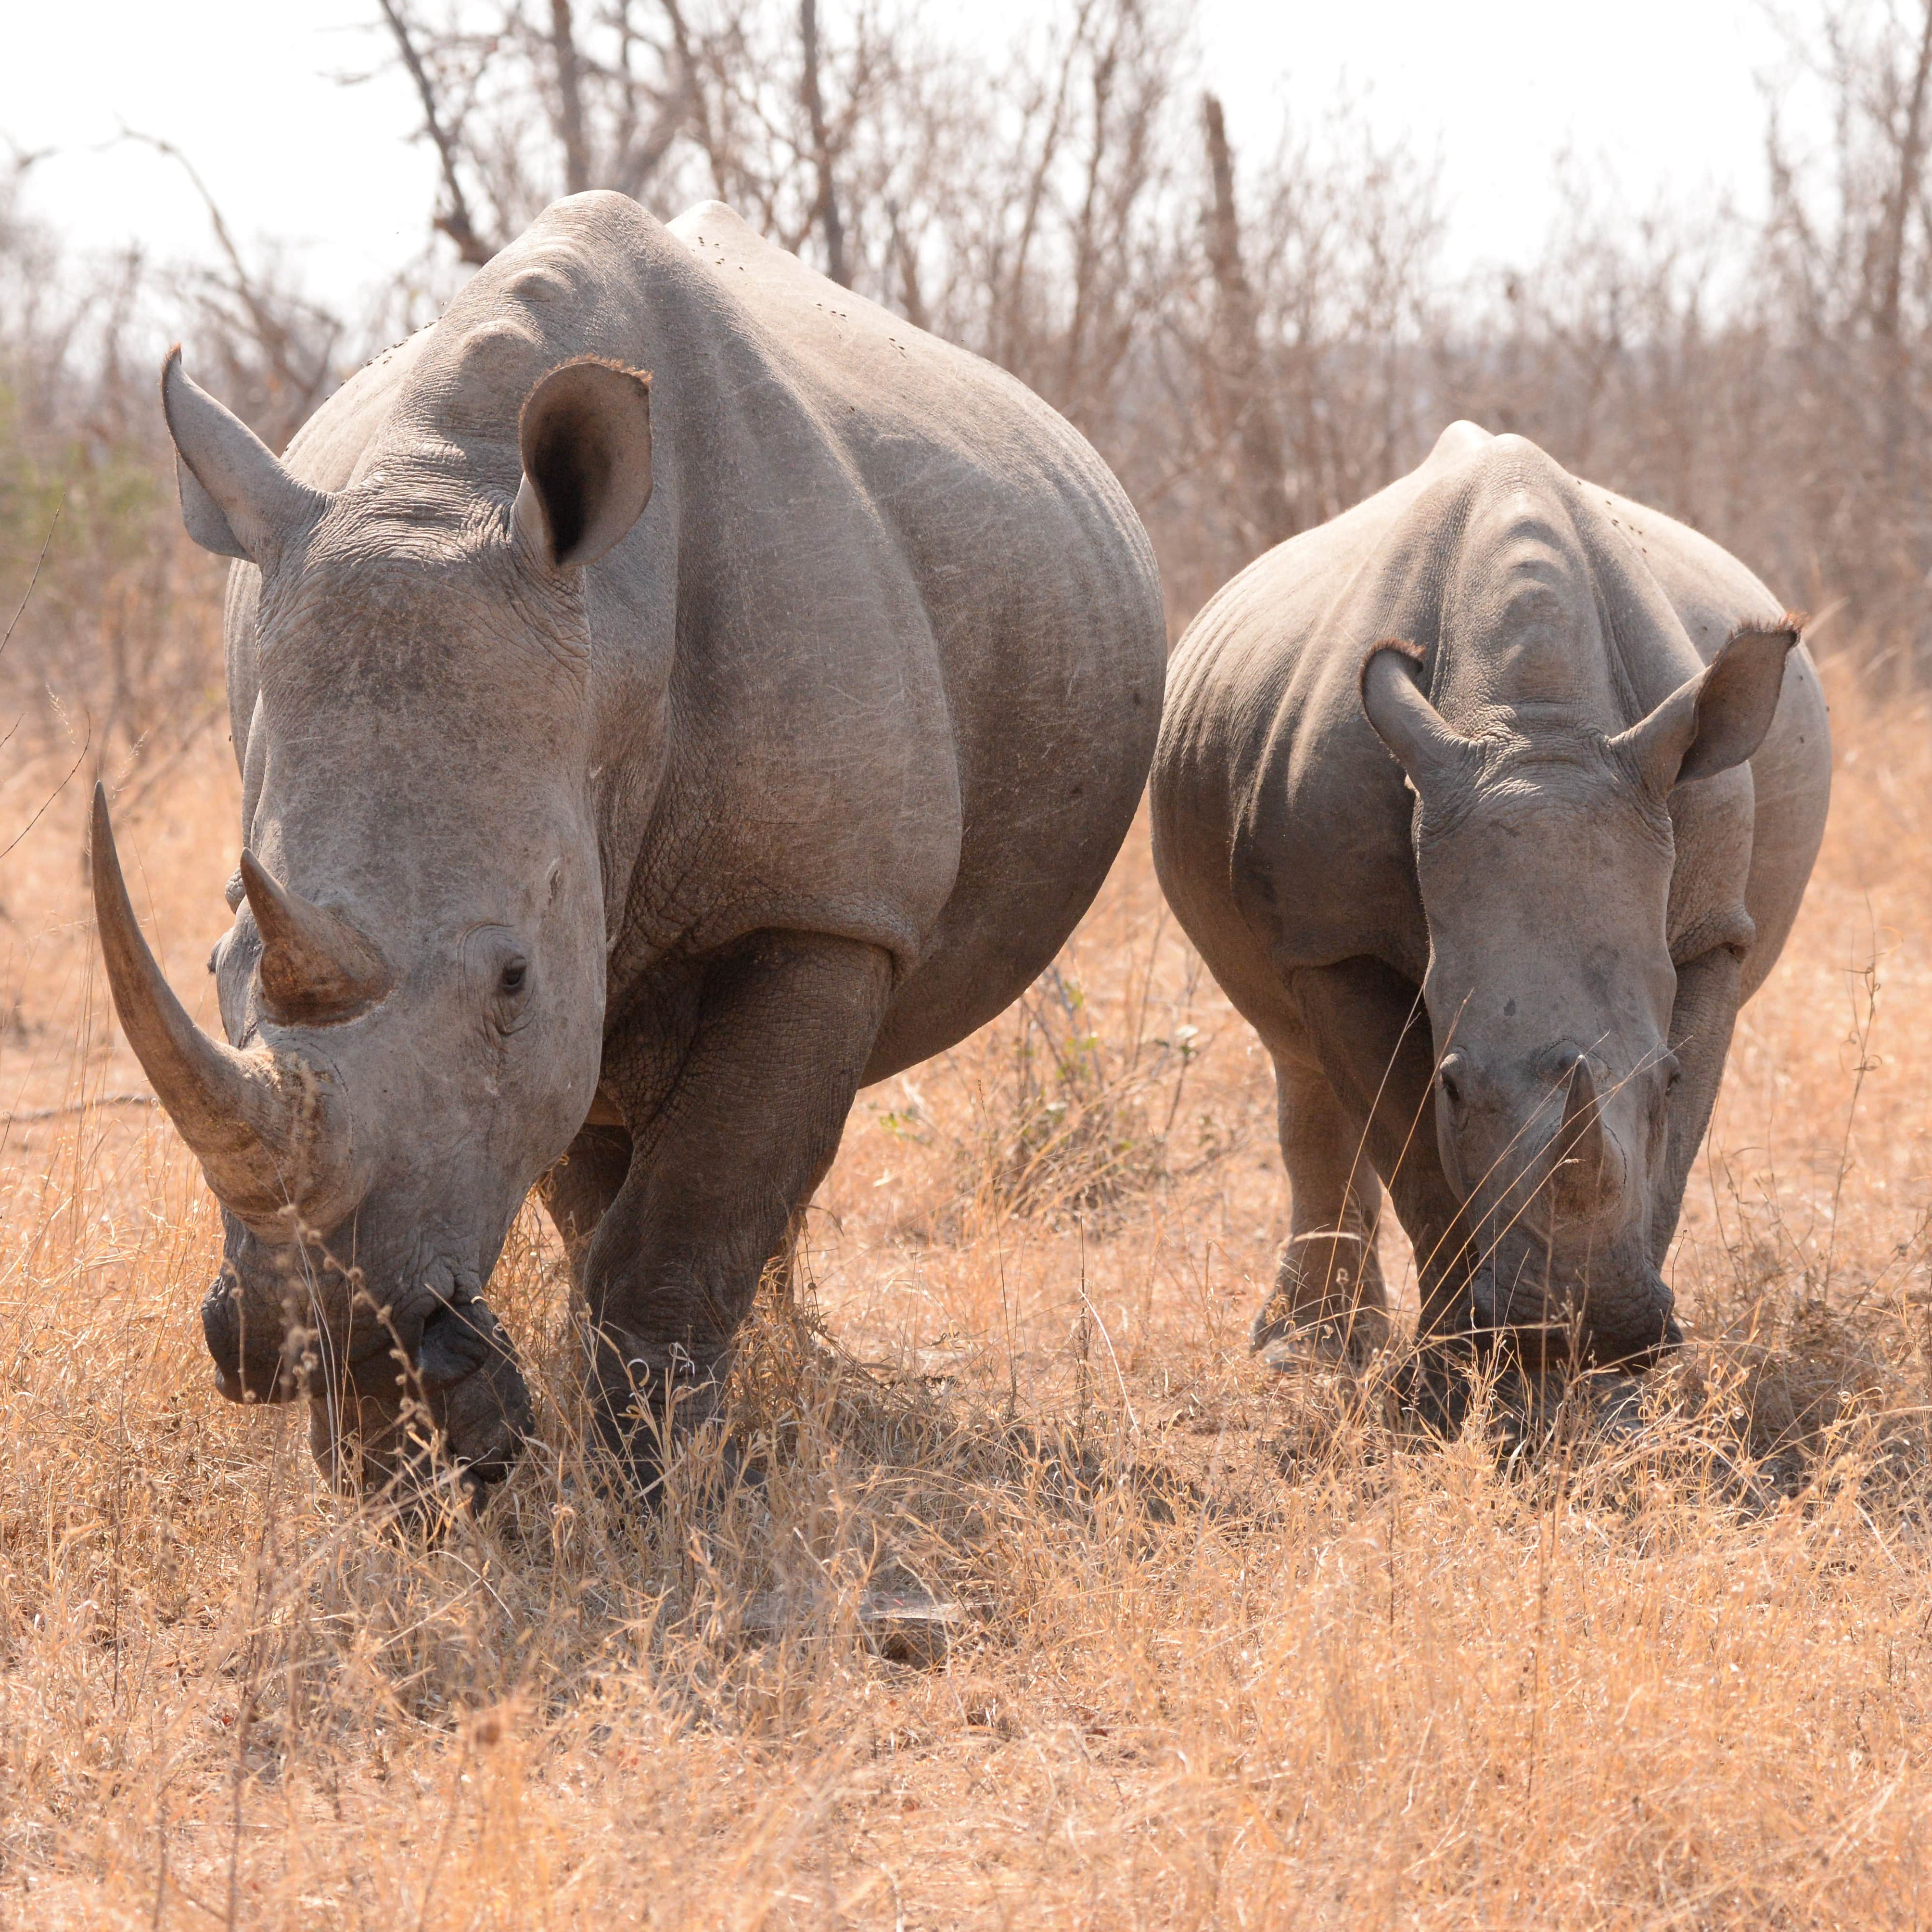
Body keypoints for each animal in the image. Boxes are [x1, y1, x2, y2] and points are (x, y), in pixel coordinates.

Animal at [92, 191, 1165, 1495]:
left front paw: (650, 1488)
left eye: (510, 977)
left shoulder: (822, 906)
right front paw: (441, 1456)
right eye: (216, 966)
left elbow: (693, 1203)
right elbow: (564, 1160)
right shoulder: (570, 941)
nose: (280, 1336)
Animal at [1151, 423, 1830, 1372]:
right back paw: (1308, 1353)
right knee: (1298, 1063)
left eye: (1663, 1077)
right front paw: (1455, 1368)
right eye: (1453, 1087)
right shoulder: (1339, 939)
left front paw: (1626, 1381)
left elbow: (1677, 1147)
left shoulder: (1710, 930)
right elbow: (1414, 1159)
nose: (1584, 1326)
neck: (1534, 725)